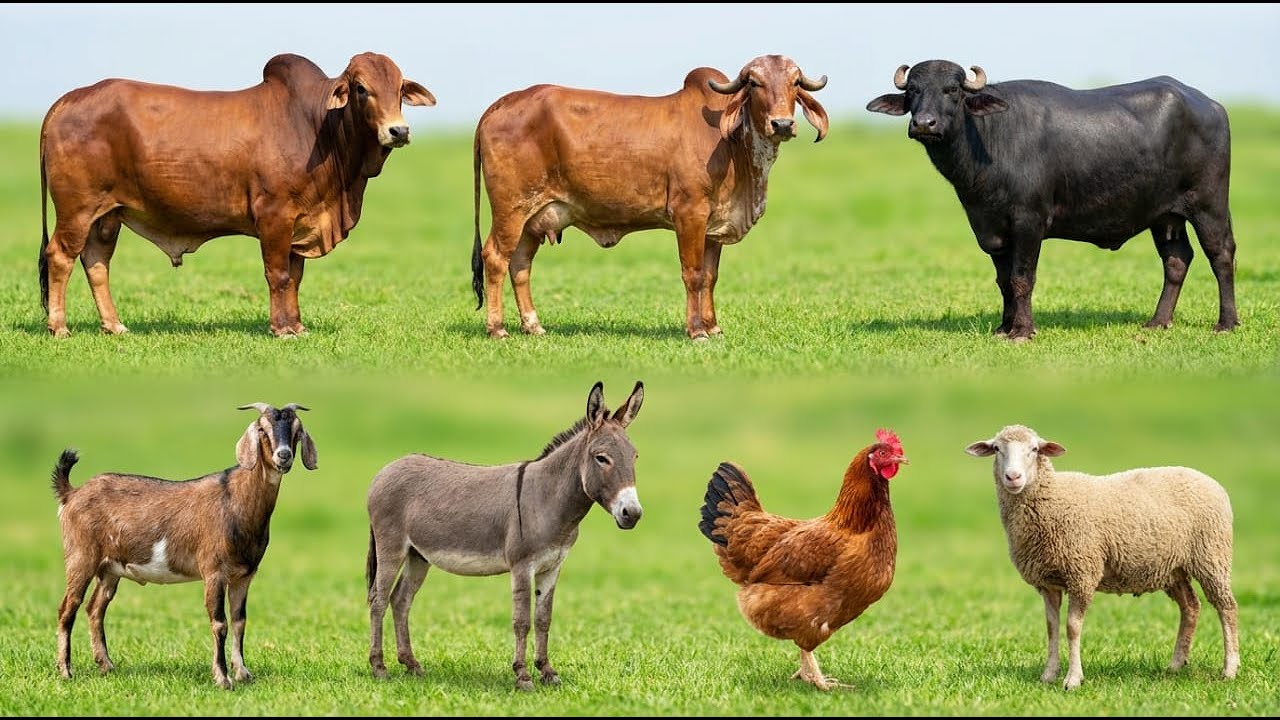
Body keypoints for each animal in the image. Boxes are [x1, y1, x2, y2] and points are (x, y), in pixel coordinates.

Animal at [39, 52, 435, 338]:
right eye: (361, 89)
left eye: (400, 89)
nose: (398, 131)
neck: (318, 128)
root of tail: (68, 99)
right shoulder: (275, 216)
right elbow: (278, 274)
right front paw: (281, 330)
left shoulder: (300, 222)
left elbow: (295, 277)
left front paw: (297, 325)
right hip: (77, 209)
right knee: (60, 256)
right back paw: (59, 328)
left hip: (107, 215)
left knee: (96, 262)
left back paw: (115, 326)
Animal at [365, 380, 645, 690]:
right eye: (601, 458)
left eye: (635, 457)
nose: (632, 513)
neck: (548, 498)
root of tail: (386, 469)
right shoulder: (522, 566)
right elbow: (522, 621)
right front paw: (522, 675)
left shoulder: (552, 566)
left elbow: (544, 618)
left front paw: (547, 671)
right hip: (391, 547)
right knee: (378, 599)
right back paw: (379, 667)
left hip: (418, 555)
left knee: (401, 600)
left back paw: (411, 664)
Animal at [471, 54, 829, 340]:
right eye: (754, 83)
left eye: (795, 82)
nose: (781, 124)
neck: (735, 147)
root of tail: (499, 105)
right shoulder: (690, 213)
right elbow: (693, 274)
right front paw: (696, 331)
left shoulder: (714, 225)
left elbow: (710, 277)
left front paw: (713, 327)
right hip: (511, 209)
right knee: (496, 258)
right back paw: (497, 328)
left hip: (533, 218)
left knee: (520, 264)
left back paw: (533, 326)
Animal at [866, 60, 1238, 341]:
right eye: (913, 91)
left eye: (952, 91)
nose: (924, 123)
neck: (989, 140)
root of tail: (1212, 106)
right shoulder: (991, 228)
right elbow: (1004, 280)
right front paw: (1004, 327)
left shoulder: (1029, 222)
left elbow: (1022, 278)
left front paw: (1022, 331)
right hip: (1164, 216)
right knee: (1177, 260)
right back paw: (1158, 321)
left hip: (1209, 203)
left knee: (1221, 254)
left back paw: (1226, 323)